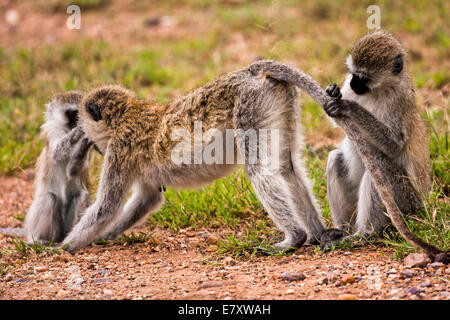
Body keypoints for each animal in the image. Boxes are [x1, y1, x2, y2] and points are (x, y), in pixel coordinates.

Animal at [0, 92, 93, 245]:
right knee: (49, 197)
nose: (80, 121)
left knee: (82, 195)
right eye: (74, 113)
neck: (65, 130)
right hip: (36, 222)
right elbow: (55, 153)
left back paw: (70, 238)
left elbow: (72, 171)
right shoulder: (51, 131)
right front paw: (80, 130)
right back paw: (40, 240)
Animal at [60, 61, 344, 254]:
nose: (89, 143)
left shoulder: (120, 149)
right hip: (280, 102)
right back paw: (317, 234)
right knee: (288, 168)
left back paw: (294, 238)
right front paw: (104, 236)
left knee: (260, 171)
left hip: (250, 106)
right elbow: (147, 198)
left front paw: (59, 247)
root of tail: (249, 71)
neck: (127, 114)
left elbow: (106, 206)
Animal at [320, 30, 446, 260]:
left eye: (364, 78)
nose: (353, 85)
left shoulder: (398, 99)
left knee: (378, 167)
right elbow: (336, 121)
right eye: (353, 73)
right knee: (335, 158)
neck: (376, 91)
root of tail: (421, 206)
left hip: (407, 203)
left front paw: (348, 106)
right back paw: (342, 231)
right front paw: (333, 92)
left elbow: (394, 145)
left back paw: (363, 235)